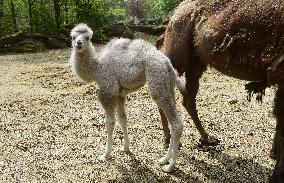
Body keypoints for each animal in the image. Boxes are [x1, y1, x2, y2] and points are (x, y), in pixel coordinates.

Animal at [158, 0, 284, 181]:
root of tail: (177, 10)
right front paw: (277, 174)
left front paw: (273, 154)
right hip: (178, 41)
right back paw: (169, 140)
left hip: (197, 60)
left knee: (188, 98)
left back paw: (207, 139)